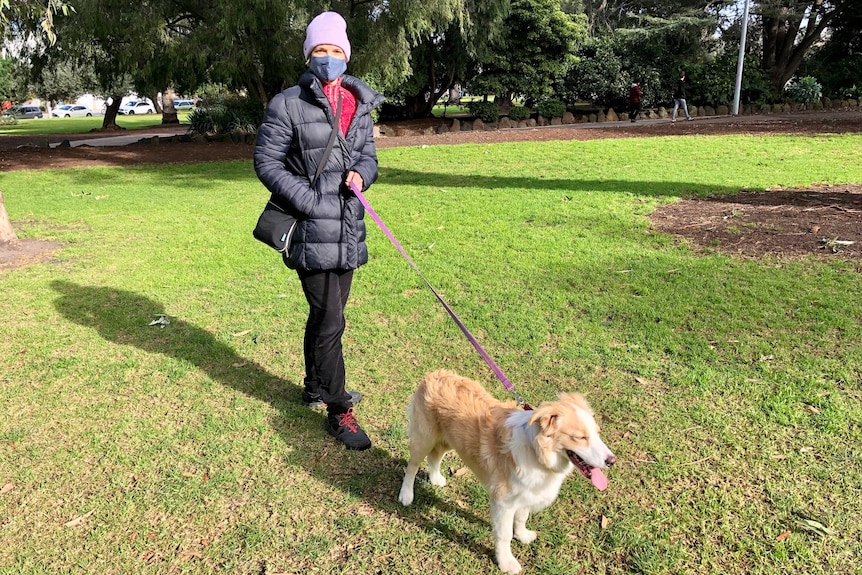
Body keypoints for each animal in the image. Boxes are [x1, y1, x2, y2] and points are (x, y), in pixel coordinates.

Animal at [398, 372, 616, 572]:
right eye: (580, 437)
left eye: (597, 433)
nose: (612, 461)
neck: (536, 452)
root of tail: (434, 374)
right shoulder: (503, 501)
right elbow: (504, 535)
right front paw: (506, 563)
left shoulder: (527, 492)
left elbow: (521, 518)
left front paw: (522, 535)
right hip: (424, 438)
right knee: (412, 467)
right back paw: (406, 495)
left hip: (448, 440)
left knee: (434, 457)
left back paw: (436, 478)